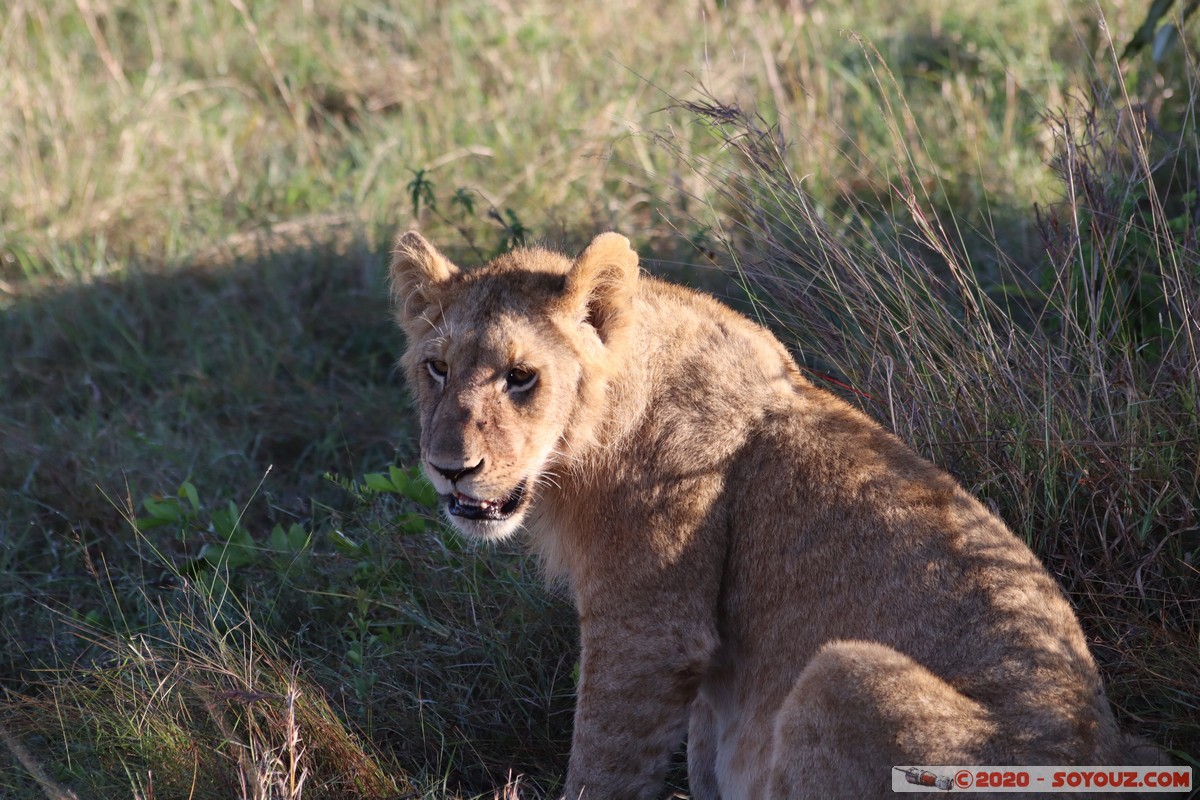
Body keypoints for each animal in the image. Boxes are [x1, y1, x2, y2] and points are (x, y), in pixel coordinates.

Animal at [388, 231, 1147, 800]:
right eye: (436, 368)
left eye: (522, 378)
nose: (450, 467)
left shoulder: (649, 627)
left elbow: (604, 758)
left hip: (846, 672)